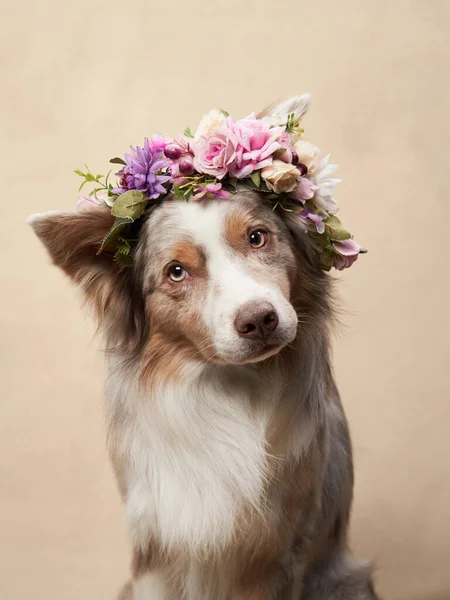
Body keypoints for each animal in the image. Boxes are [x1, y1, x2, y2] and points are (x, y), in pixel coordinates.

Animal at [29, 96, 380, 596]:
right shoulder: (154, 548)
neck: (224, 390)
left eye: (257, 237)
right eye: (176, 272)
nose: (259, 320)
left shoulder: (277, 552)